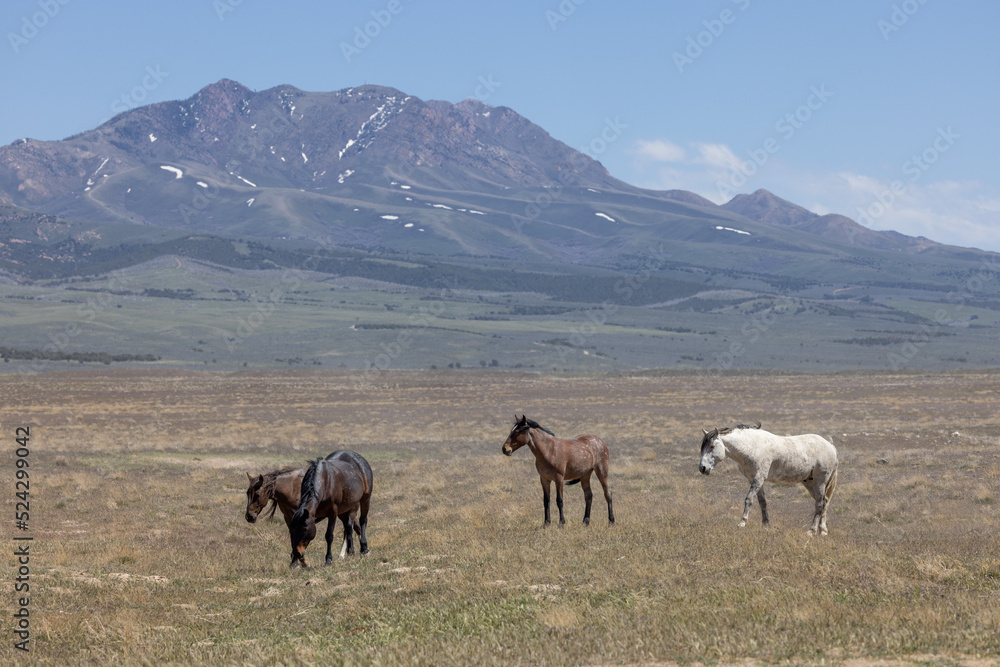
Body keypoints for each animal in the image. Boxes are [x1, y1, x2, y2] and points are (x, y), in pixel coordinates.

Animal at [698, 421, 839, 535]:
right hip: (809, 482)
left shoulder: (758, 478)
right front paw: (765, 524)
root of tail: (830, 445)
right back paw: (823, 531)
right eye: (703, 447)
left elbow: (749, 499)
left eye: (712, 446)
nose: (702, 468)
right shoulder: (754, 479)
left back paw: (811, 531)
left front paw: (742, 523)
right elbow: (762, 502)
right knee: (824, 502)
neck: (753, 446)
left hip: (820, 481)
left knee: (819, 504)